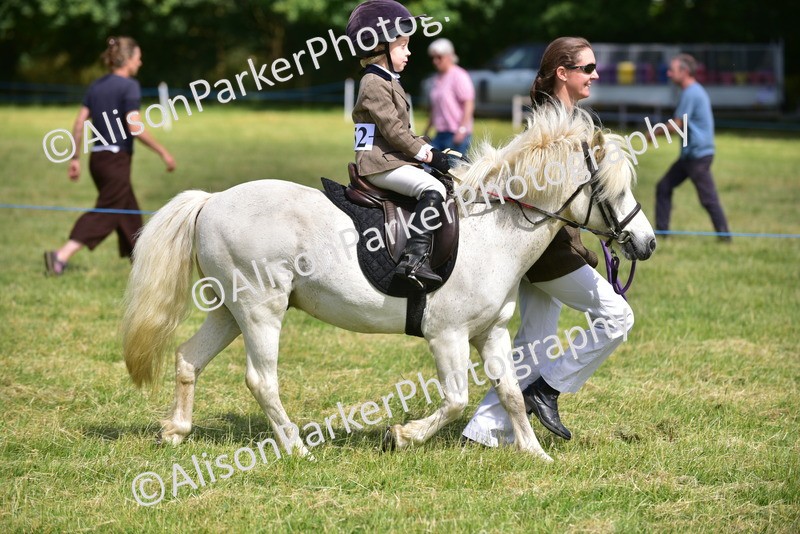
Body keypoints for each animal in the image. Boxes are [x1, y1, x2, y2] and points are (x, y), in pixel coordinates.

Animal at [122, 104, 656, 462]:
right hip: (260, 311)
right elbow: (457, 399)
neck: (494, 229)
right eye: (609, 189)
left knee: (189, 358)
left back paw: (176, 430)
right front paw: (401, 436)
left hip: (229, 309)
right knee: (261, 379)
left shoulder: (491, 333)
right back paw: (295, 448)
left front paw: (532, 454)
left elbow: (508, 392)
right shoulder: (447, 336)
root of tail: (212, 200)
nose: (646, 243)